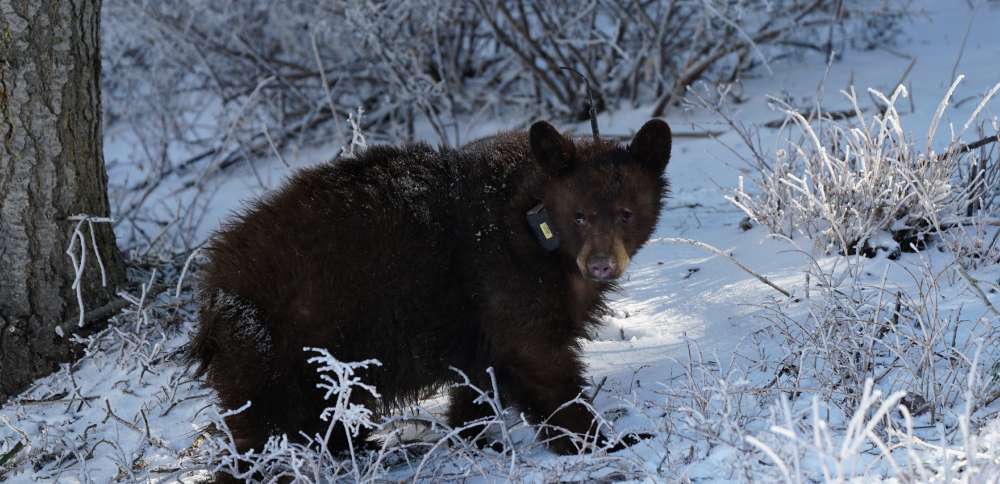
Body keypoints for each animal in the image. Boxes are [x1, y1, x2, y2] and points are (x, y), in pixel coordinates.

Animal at [189, 118, 672, 470]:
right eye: (580, 216)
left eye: (626, 213)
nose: (600, 265)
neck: (539, 234)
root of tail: (212, 287)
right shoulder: (503, 278)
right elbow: (541, 363)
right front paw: (605, 440)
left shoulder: (481, 323)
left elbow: (480, 379)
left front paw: (473, 437)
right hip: (279, 348)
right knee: (267, 427)